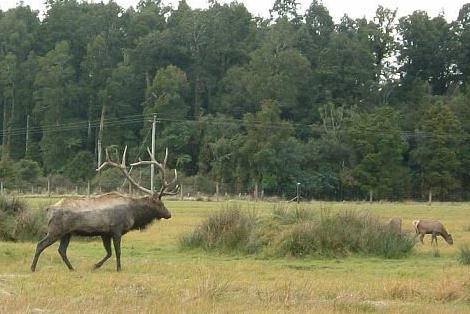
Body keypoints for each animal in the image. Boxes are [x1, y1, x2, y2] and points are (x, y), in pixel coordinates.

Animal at [30, 146, 179, 272]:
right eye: (160, 203)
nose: (169, 214)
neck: (133, 214)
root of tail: (49, 210)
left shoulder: (105, 233)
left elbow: (109, 252)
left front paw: (95, 265)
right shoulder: (116, 229)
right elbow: (117, 251)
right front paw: (118, 269)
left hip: (67, 233)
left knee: (61, 250)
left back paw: (72, 268)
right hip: (55, 229)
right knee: (40, 244)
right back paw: (32, 268)